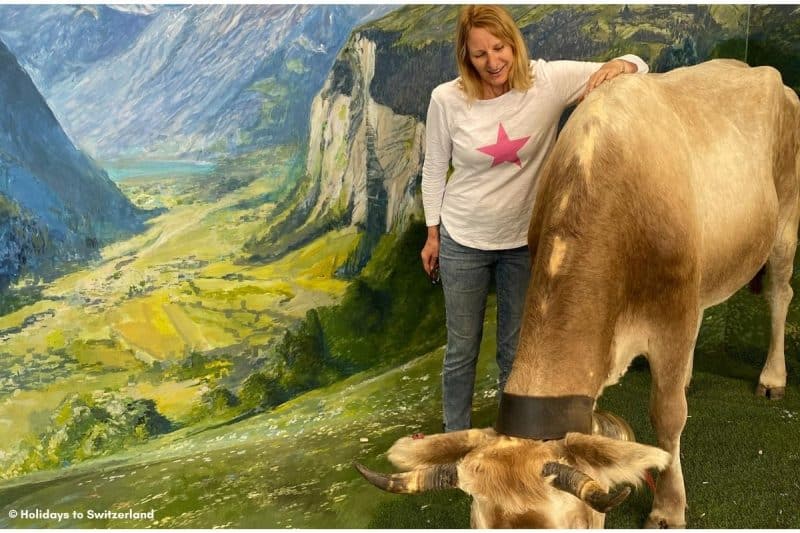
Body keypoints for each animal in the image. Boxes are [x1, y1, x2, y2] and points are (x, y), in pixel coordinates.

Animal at [356, 59, 800, 528]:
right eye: (475, 521)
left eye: (570, 523)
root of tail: (753, 66)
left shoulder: (671, 314)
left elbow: (667, 417)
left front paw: (668, 507)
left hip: (785, 221)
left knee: (779, 294)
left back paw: (772, 378)